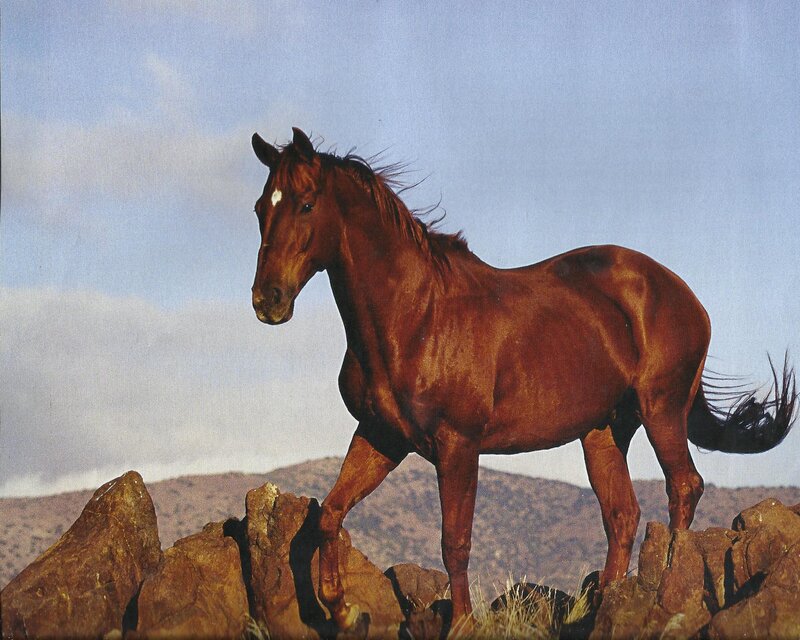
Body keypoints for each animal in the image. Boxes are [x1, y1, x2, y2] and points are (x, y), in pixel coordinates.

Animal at [249, 127, 797, 632]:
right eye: (259, 208)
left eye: (305, 204)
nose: (267, 300)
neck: (416, 316)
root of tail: (683, 293)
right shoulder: (381, 437)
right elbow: (329, 514)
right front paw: (344, 611)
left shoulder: (457, 445)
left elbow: (455, 542)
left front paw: (461, 624)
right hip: (603, 432)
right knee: (622, 515)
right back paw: (602, 606)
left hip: (662, 410)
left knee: (683, 487)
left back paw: (666, 584)